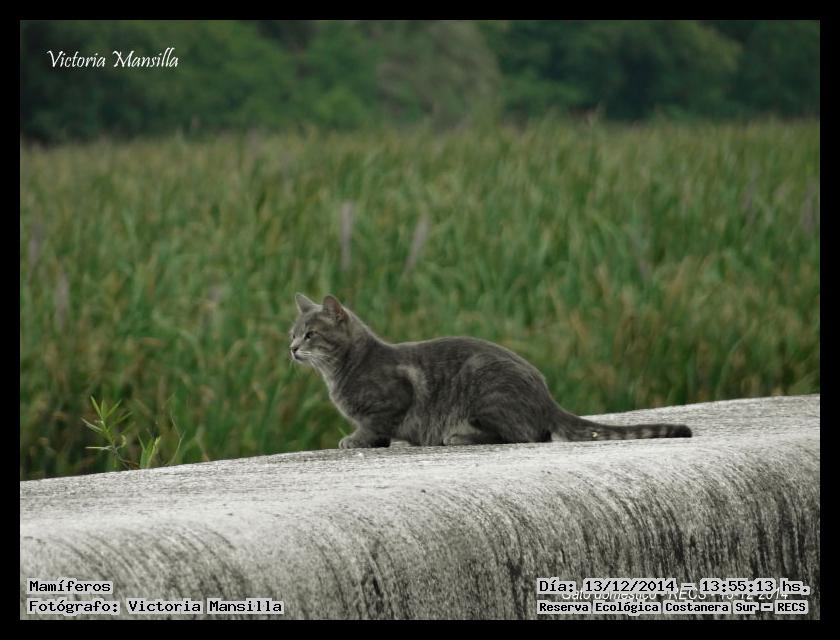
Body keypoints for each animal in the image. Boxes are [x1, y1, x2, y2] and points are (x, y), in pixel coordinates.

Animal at [290, 293, 691, 448]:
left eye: (311, 335)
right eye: (292, 333)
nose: (292, 349)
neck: (342, 370)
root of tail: (547, 399)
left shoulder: (393, 399)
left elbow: (374, 427)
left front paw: (355, 439)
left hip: (484, 388)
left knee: (523, 435)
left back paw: (460, 436)